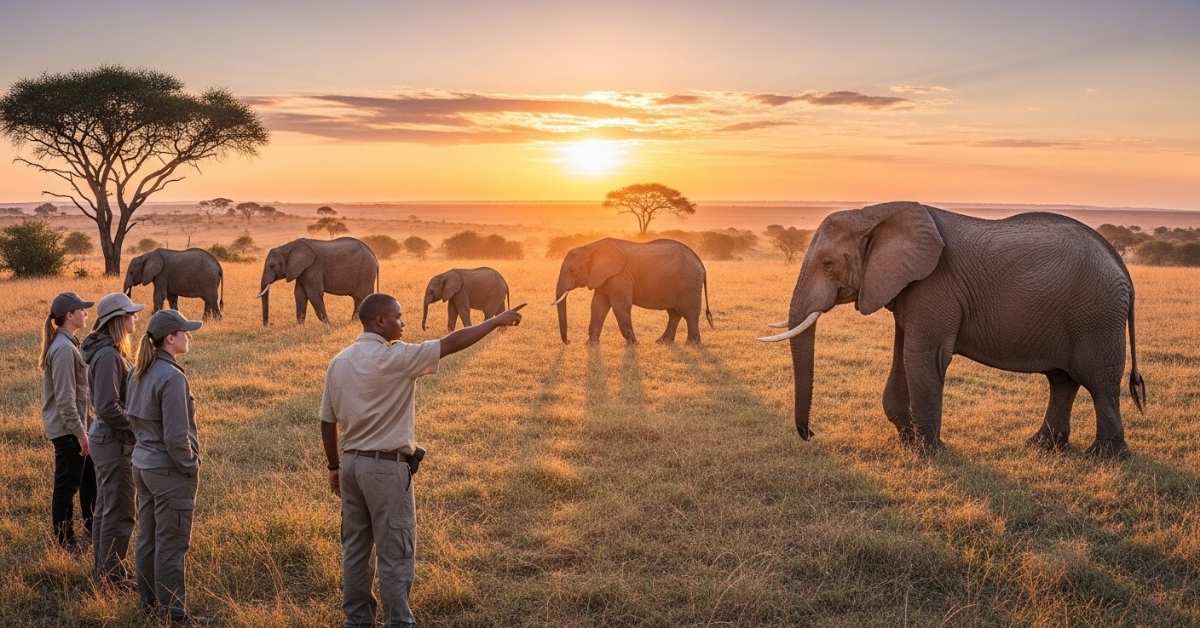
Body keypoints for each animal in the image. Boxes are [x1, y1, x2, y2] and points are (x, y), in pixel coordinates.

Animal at [553, 238, 713, 345]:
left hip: (690, 283)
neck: (589, 248)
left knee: (690, 313)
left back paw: (691, 344)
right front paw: (591, 344)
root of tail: (700, 263)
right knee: (674, 314)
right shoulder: (604, 278)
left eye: (572, 270)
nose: (569, 341)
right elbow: (598, 306)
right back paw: (662, 342)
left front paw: (633, 344)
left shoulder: (619, 276)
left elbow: (620, 306)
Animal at [759, 201, 1146, 458]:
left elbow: (924, 358)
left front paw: (928, 452)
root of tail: (1123, 269)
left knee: (1099, 383)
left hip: (1096, 316)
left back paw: (1104, 456)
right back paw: (1043, 447)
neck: (873, 213)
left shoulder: (935, 286)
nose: (810, 433)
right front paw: (907, 440)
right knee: (1062, 380)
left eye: (828, 264)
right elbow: (903, 354)